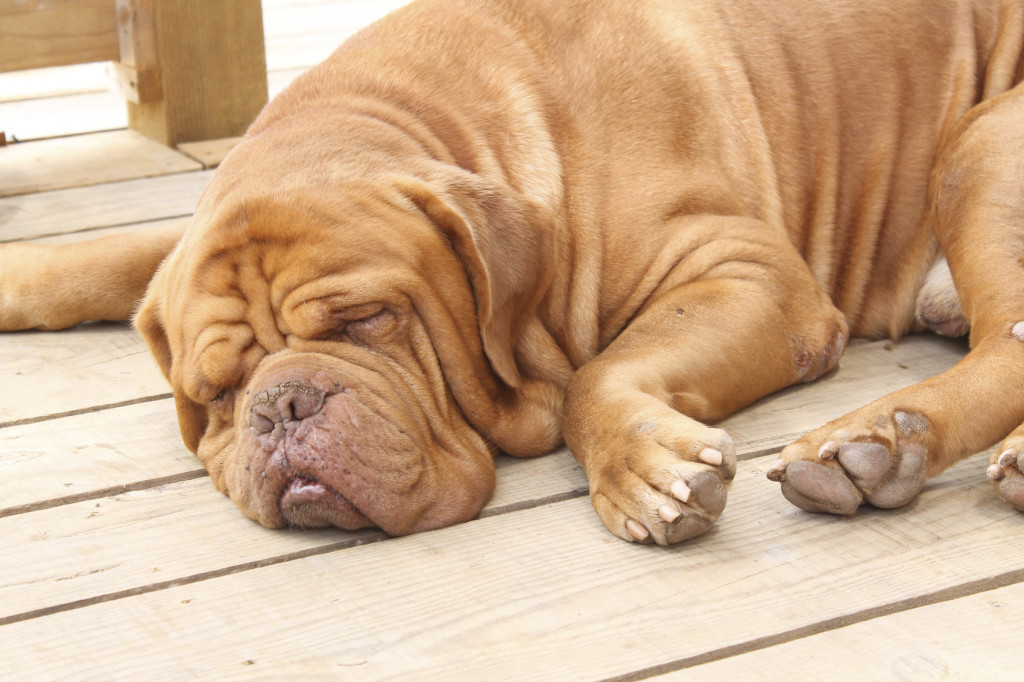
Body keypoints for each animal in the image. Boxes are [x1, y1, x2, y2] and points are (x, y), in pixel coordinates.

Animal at [2, 0, 1024, 540]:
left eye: (369, 320)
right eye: (214, 390)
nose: (283, 404)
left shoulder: (751, 274)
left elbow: (595, 376)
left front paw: (641, 469)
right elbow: (119, 254)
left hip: (981, 145)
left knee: (1004, 342)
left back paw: (878, 443)